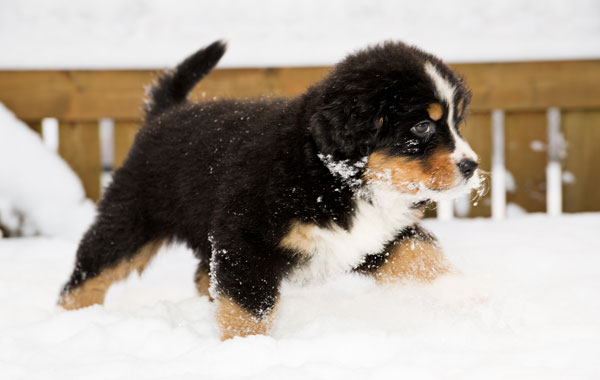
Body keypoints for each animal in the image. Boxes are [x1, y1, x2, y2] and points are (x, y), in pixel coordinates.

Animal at [58, 40, 480, 340]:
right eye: (423, 127)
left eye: (457, 122)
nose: (472, 166)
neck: (327, 173)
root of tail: (164, 114)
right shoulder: (248, 241)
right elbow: (248, 308)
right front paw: (249, 351)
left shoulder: (375, 235)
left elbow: (421, 257)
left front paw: (466, 294)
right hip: (131, 218)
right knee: (89, 275)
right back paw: (71, 322)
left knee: (202, 275)